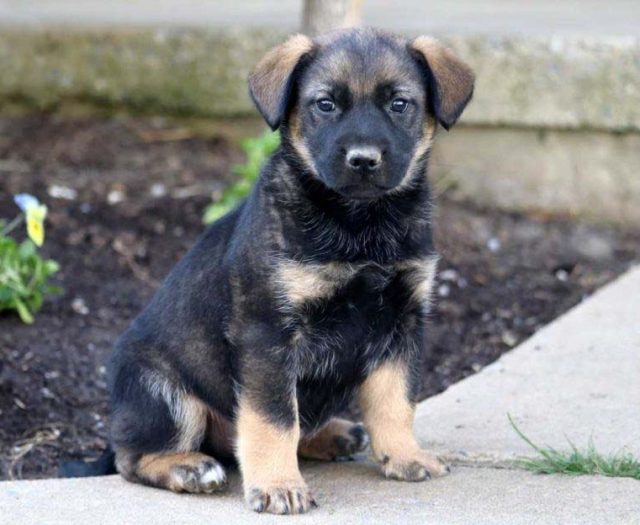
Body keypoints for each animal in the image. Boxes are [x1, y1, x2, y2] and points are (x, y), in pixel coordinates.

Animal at [106, 27, 476, 512]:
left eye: (400, 103)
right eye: (325, 104)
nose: (363, 160)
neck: (360, 224)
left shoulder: (403, 321)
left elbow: (396, 401)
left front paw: (404, 455)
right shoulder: (268, 335)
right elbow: (275, 418)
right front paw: (279, 486)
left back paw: (335, 434)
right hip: (163, 393)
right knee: (131, 457)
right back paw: (189, 467)